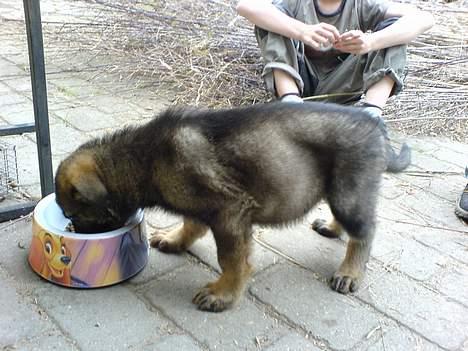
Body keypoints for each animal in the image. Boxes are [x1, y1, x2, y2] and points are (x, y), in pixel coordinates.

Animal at [55, 102, 410, 314]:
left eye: (74, 215)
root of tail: (376, 127)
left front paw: (222, 294)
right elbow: (191, 224)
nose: (74, 234)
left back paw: (349, 271)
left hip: (348, 190)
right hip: (338, 189)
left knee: (364, 231)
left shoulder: (230, 212)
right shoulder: (204, 207)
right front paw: (174, 239)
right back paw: (331, 228)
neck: (143, 160)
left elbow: (231, 260)